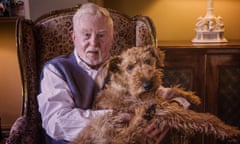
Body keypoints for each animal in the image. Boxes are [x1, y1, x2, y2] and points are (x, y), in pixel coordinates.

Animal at [71, 45, 240, 143]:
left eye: (147, 61)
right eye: (129, 67)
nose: (148, 84)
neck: (127, 88)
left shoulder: (158, 98)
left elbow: (169, 90)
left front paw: (192, 97)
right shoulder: (162, 110)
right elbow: (200, 118)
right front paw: (229, 129)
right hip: (103, 122)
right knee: (122, 137)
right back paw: (141, 116)